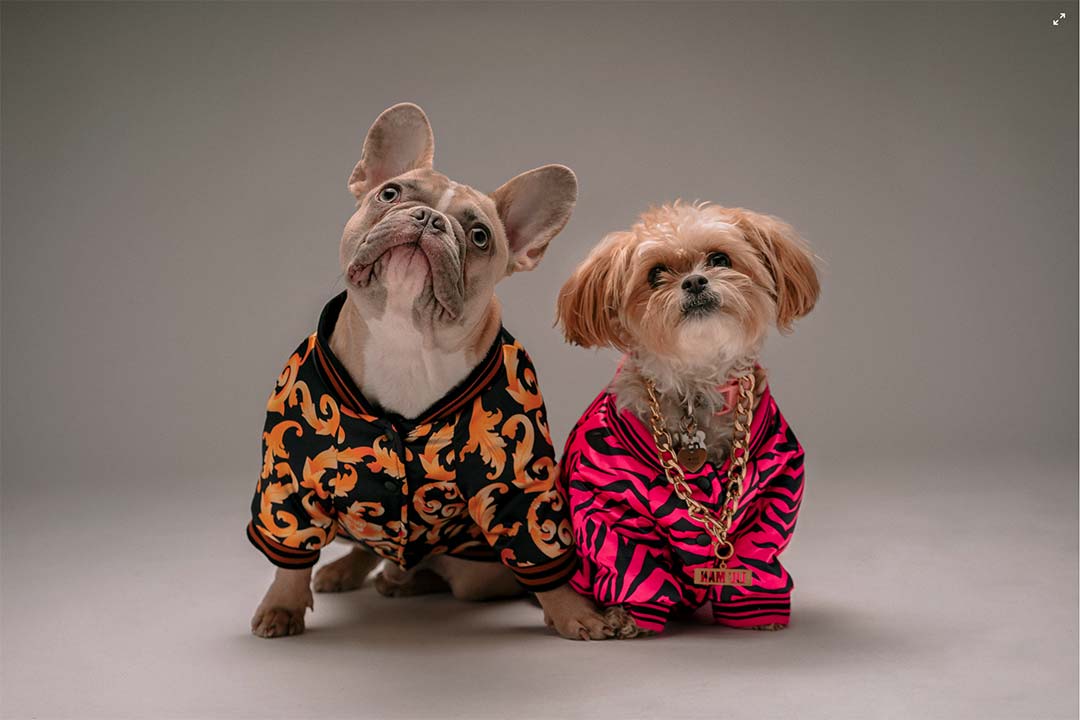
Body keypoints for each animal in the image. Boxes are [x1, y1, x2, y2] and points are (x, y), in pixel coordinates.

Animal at [557, 201, 816, 634]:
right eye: (655, 273)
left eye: (720, 259)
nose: (694, 282)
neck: (696, 386)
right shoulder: (611, 504)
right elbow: (633, 567)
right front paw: (633, 616)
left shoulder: (772, 490)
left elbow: (753, 558)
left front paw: (761, 615)